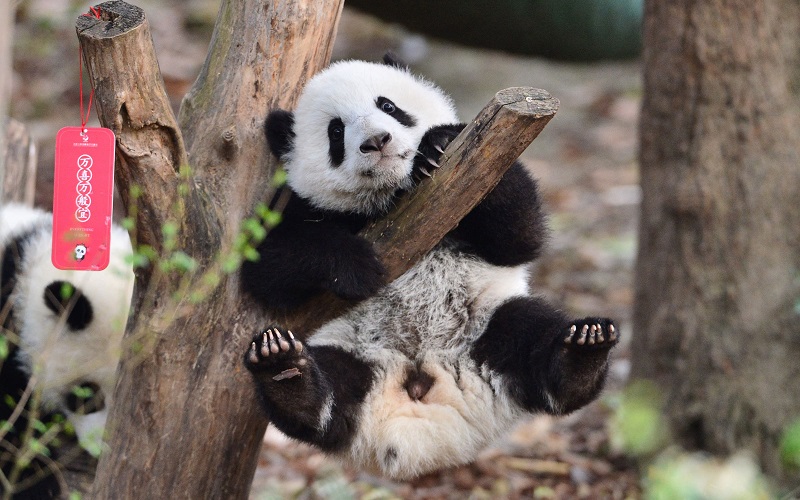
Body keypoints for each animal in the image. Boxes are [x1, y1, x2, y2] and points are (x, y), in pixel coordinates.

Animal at [241, 55, 618, 479]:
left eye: (388, 106)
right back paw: (285, 371)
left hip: (486, 325)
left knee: (530, 334)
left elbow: (521, 233)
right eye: (335, 131)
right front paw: (357, 266)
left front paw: (439, 142)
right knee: (327, 398)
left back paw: (583, 351)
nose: (377, 141)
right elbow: (266, 267)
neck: (389, 196)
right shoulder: (296, 205)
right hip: (350, 351)